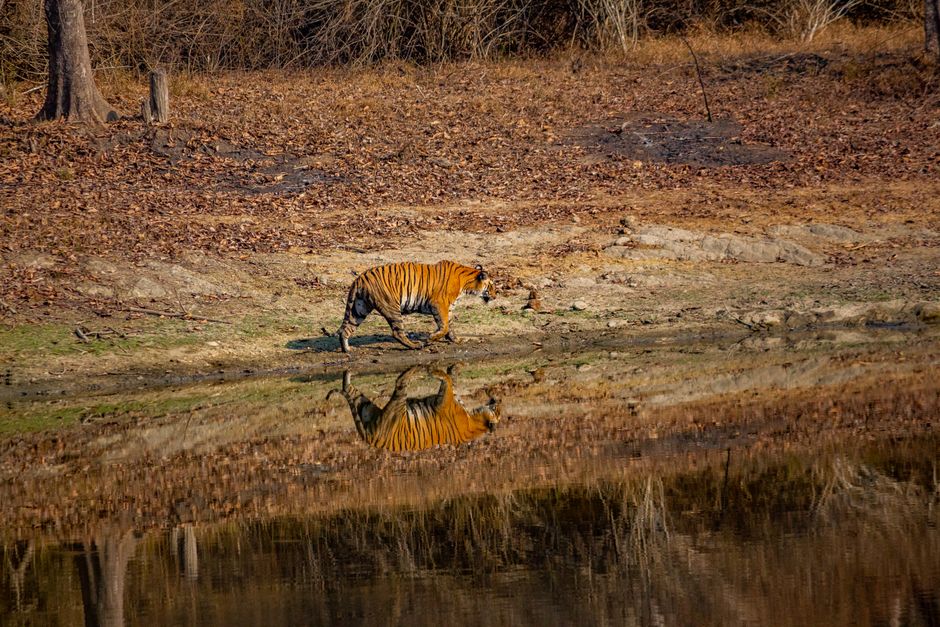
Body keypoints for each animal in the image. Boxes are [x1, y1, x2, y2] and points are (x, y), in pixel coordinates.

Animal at [325, 260, 496, 353]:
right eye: (492, 286)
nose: (495, 296)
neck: (467, 283)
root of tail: (359, 278)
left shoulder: (449, 308)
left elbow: (450, 327)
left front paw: (457, 340)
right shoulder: (439, 304)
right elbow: (445, 326)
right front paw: (430, 338)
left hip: (359, 309)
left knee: (346, 329)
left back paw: (347, 350)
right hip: (392, 307)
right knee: (397, 332)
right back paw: (415, 345)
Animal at [327, 365, 501, 452]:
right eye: (497, 409)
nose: (497, 400)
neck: (475, 420)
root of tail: (372, 440)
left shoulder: (444, 401)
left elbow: (448, 381)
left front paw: (436, 371)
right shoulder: (449, 399)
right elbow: (452, 380)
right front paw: (455, 367)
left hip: (393, 404)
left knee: (400, 380)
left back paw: (417, 369)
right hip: (366, 405)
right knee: (348, 388)